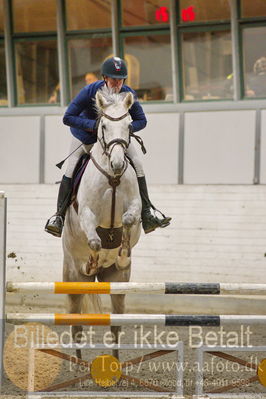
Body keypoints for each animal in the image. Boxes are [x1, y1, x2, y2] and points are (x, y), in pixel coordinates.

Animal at [62, 86, 142, 360]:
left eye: (129, 125)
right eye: (104, 126)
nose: (118, 164)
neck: (112, 178)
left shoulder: (134, 206)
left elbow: (128, 219)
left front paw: (123, 252)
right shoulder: (86, 214)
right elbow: (95, 241)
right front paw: (93, 260)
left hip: (118, 281)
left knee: (116, 323)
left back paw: (115, 363)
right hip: (72, 277)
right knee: (75, 321)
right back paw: (77, 362)